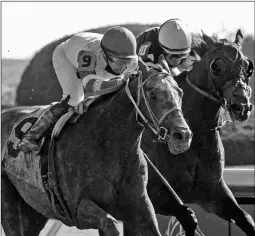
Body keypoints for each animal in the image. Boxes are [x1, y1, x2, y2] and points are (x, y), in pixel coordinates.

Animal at [1, 57, 193, 236]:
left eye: (180, 92)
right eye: (153, 95)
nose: (182, 136)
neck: (110, 146)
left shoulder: (140, 207)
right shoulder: (78, 209)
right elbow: (110, 224)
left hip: (34, 210)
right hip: (10, 206)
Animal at [142, 29, 254, 236]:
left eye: (248, 66)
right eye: (216, 66)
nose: (241, 106)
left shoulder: (213, 193)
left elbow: (246, 219)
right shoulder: (153, 192)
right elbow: (188, 217)